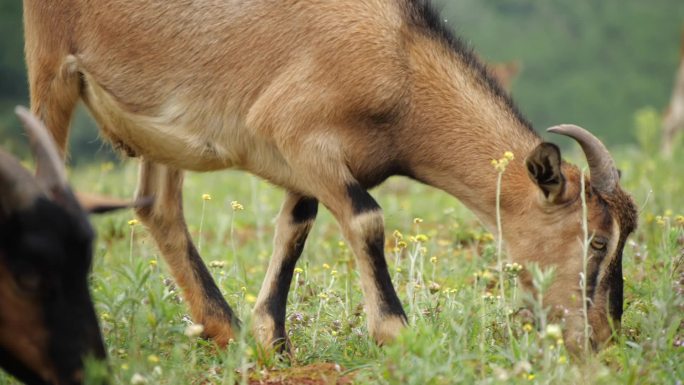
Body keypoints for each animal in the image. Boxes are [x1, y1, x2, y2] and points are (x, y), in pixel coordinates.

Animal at [21, 0, 640, 354]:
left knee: (158, 205)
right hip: (51, 66)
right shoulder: (296, 133)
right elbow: (366, 221)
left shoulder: (314, 165)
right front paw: (397, 334)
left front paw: (272, 341)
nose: (601, 339)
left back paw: (223, 329)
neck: (400, 64)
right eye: (597, 239)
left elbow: (295, 229)